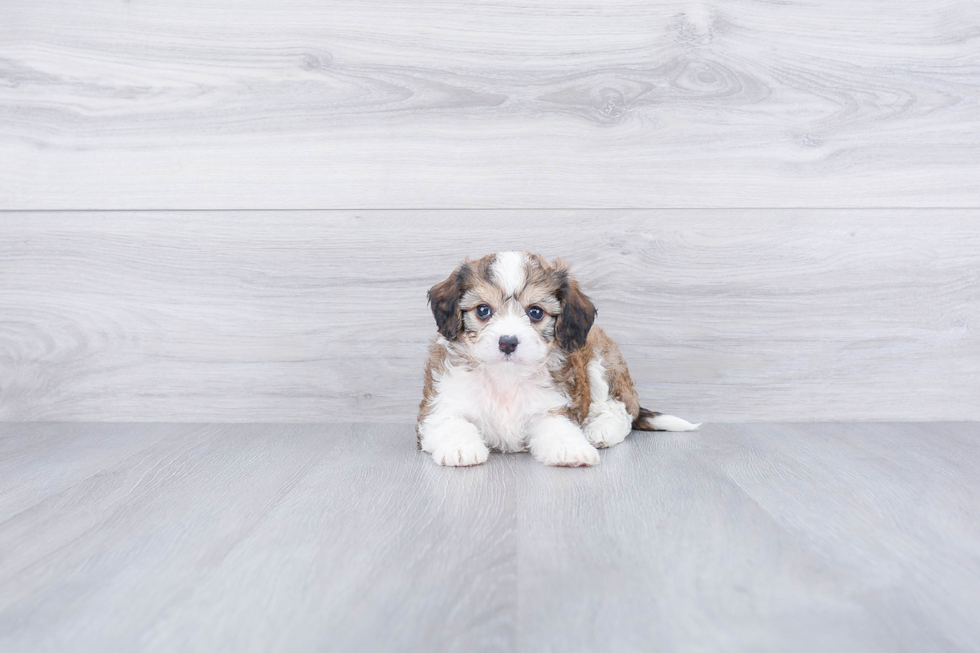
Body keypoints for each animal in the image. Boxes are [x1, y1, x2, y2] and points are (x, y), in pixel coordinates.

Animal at [418, 252, 700, 466]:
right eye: (483, 310)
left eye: (535, 312)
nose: (507, 342)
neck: (506, 377)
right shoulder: (440, 406)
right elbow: (450, 422)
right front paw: (459, 447)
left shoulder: (552, 407)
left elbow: (558, 427)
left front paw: (571, 448)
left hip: (601, 361)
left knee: (619, 412)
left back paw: (600, 430)